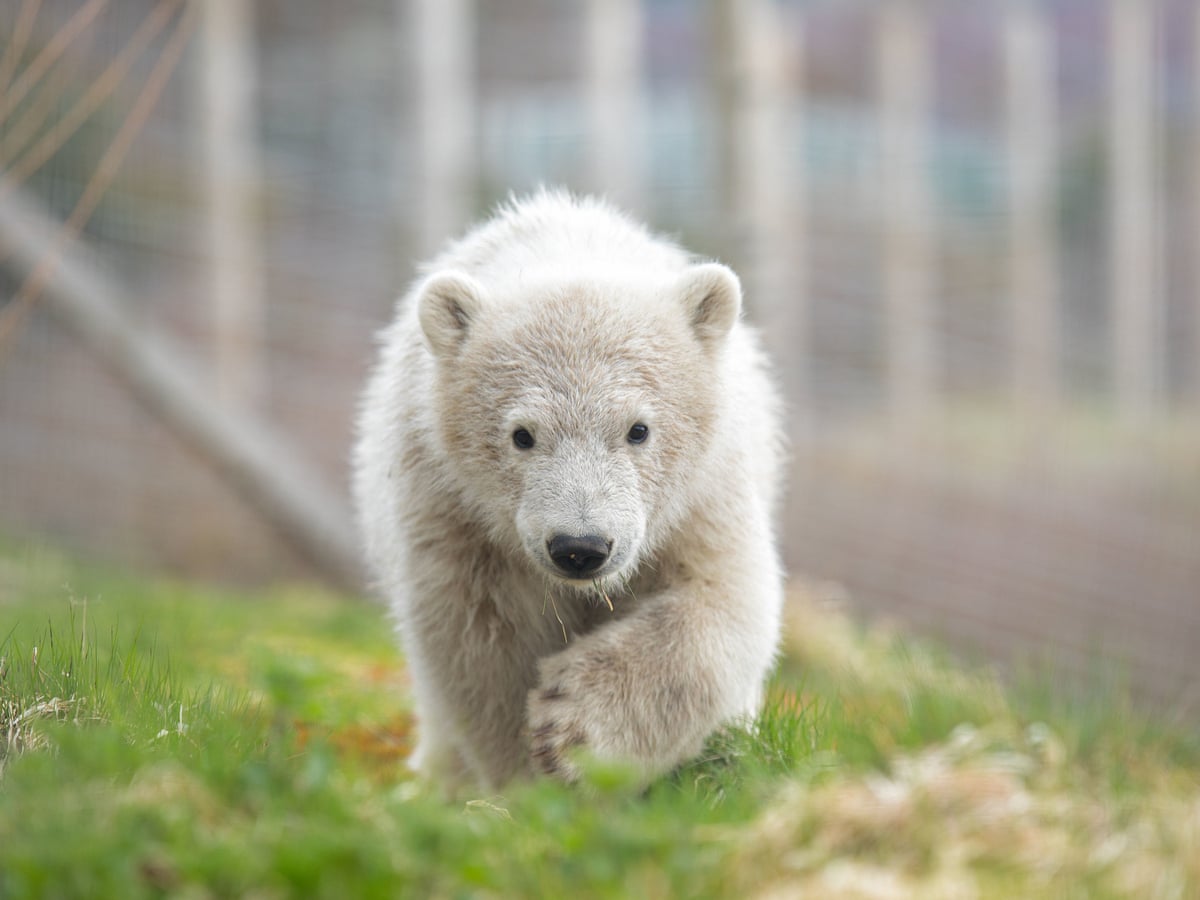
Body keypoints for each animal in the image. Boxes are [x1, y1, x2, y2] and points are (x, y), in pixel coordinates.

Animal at [353, 189, 784, 788]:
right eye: (522, 435)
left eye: (639, 429)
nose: (580, 548)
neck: (564, 253)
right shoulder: (451, 509)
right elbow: (479, 639)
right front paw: (524, 778)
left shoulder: (704, 493)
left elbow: (721, 603)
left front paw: (575, 731)